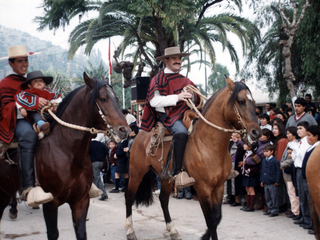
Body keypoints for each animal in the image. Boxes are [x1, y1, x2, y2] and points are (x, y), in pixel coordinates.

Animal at [0, 73, 130, 240]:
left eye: (117, 99)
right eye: (103, 99)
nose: (124, 130)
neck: (68, 153)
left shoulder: (81, 200)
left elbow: (81, 232)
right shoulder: (51, 203)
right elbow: (53, 233)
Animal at [124, 77, 260, 240]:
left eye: (254, 102)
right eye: (241, 101)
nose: (256, 132)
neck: (208, 144)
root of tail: (140, 134)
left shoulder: (219, 186)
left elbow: (217, 218)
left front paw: (204, 236)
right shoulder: (203, 188)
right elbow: (211, 220)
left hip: (165, 177)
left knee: (163, 200)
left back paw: (172, 230)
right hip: (136, 172)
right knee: (129, 197)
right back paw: (130, 230)